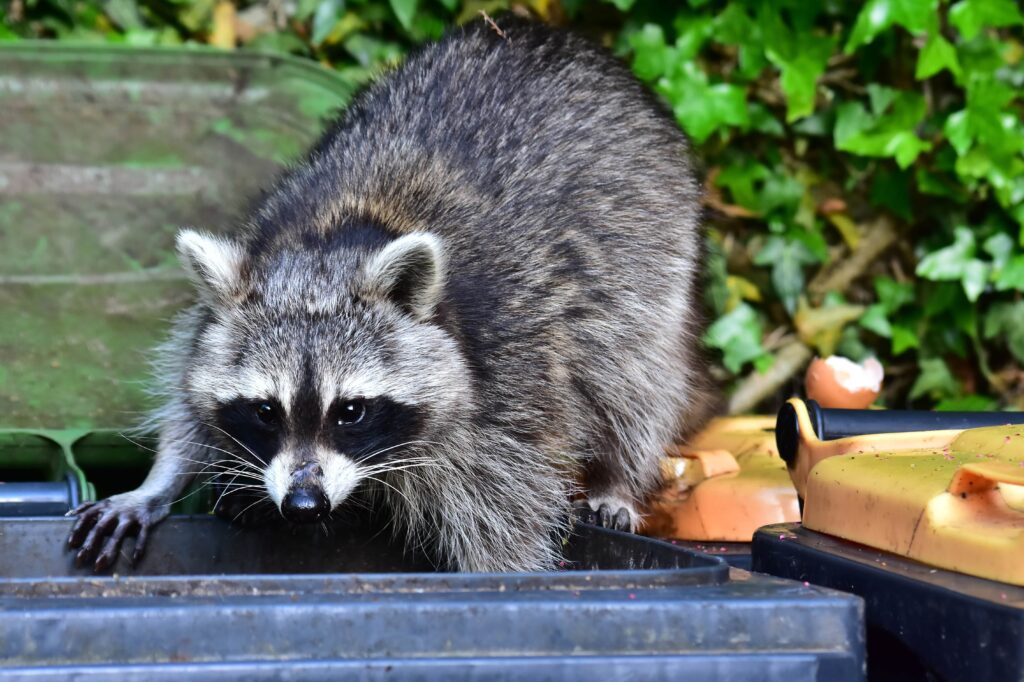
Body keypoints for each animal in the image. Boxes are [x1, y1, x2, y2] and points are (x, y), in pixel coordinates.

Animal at [68, 14, 712, 569]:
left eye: (350, 411)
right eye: (265, 410)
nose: (304, 505)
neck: (333, 242)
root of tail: (550, 35)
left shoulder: (511, 385)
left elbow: (510, 520)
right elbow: (190, 405)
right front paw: (159, 480)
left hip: (652, 253)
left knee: (634, 374)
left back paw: (620, 477)